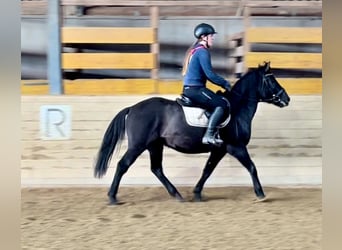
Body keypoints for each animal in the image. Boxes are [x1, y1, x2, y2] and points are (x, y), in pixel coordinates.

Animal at [93, 61, 288, 204]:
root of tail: (132, 108)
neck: (237, 108)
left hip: (155, 145)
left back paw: (177, 195)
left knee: (156, 169)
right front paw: (261, 194)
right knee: (123, 165)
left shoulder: (219, 150)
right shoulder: (236, 147)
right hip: (138, 145)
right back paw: (112, 197)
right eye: (272, 80)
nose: (286, 99)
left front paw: (197, 193)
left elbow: (207, 170)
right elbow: (252, 167)